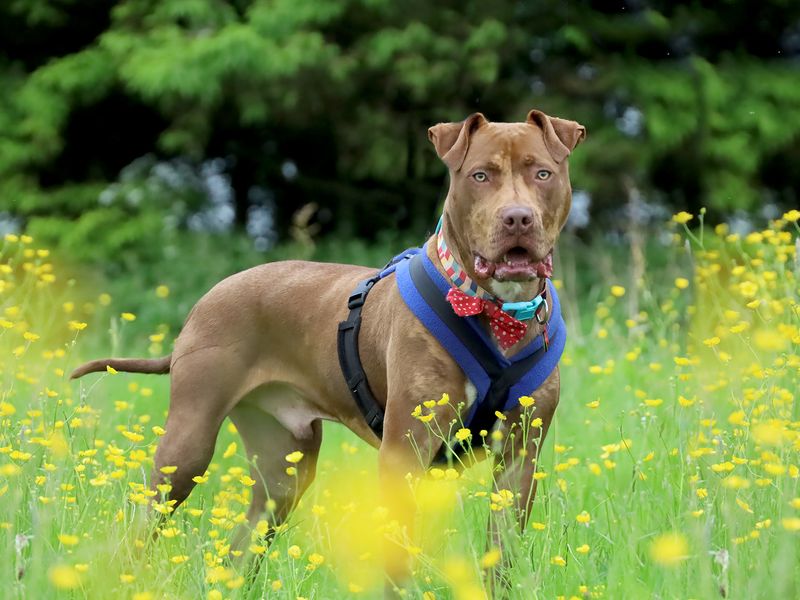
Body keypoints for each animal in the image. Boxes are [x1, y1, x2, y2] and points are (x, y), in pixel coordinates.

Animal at [72, 110, 584, 592]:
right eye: (480, 175)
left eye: (542, 173)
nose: (517, 217)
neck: (498, 311)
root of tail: (209, 295)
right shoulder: (404, 450)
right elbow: (397, 556)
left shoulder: (518, 460)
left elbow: (502, 556)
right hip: (187, 446)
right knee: (143, 528)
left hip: (282, 470)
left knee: (242, 548)